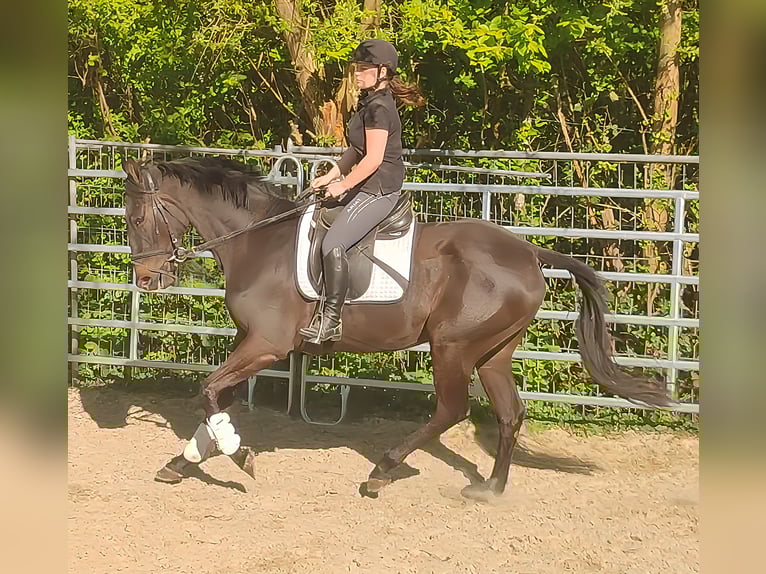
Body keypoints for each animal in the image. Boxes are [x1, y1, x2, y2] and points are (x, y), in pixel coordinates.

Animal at [121, 155, 669, 500]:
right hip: (494, 352)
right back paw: (489, 489)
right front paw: (182, 463)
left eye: (136, 218)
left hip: (453, 348)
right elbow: (218, 397)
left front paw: (241, 457)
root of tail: (529, 252)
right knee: (510, 413)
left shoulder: (267, 345)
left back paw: (381, 472)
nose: (146, 279)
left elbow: (209, 392)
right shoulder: (248, 342)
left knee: (451, 410)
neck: (259, 243)